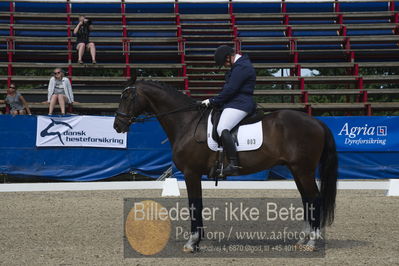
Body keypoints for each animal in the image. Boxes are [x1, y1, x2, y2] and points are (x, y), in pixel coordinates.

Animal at [114, 80, 340, 252]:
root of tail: (317, 122)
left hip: (303, 169)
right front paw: (198, 241)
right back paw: (302, 239)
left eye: (127, 98)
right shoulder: (194, 174)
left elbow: (194, 205)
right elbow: (198, 205)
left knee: (314, 198)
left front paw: (192, 242)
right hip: (297, 170)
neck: (187, 122)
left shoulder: (190, 173)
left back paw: (311, 242)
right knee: (307, 200)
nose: (117, 125)